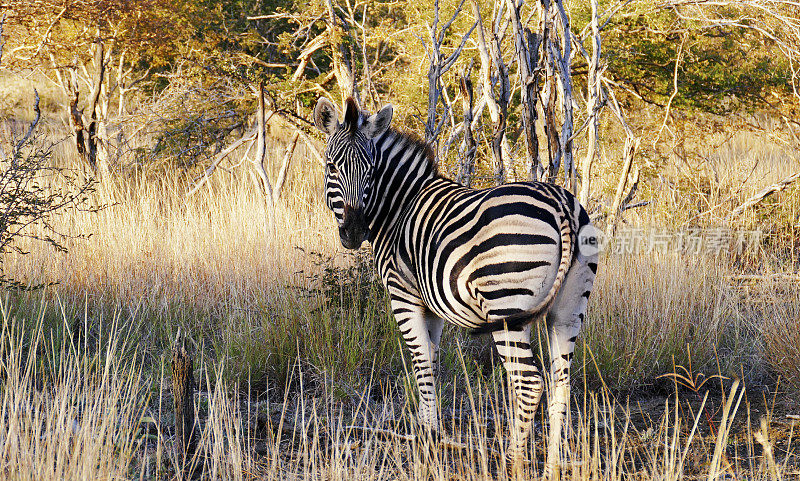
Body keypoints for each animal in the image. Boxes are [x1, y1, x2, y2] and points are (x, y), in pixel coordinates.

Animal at [312, 95, 592, 474]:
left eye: (370, 171)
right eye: (332, 166)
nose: (354, 233)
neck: (398, 207)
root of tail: (561, 205)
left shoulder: (404, 295)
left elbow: (420, 362)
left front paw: (427, 442)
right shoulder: (431, 305)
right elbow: (432, 360)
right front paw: (430, 435)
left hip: (506, 305)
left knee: (529, 382)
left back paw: (513, 463)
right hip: (568, 310)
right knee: (561, 384)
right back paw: (550, 468)